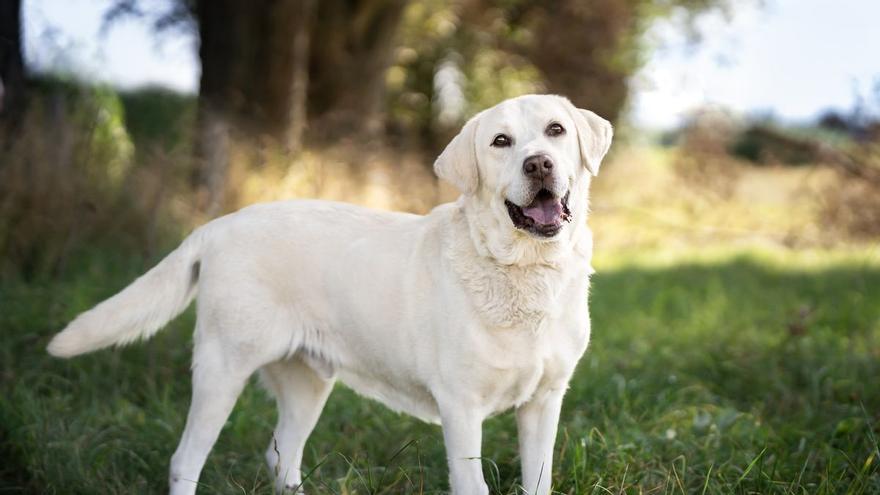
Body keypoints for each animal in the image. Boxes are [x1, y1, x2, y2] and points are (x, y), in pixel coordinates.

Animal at [48, 94, 612, 495]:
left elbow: (538, 481)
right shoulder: (461, 408)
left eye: (556, 131)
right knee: (185, 459)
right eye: (500, 141)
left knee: (280, 456)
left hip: (307, 383)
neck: (525, 271)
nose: (538, 164)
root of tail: (216, 226)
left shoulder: (544, 403)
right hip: (221, 370)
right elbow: (472, 483)